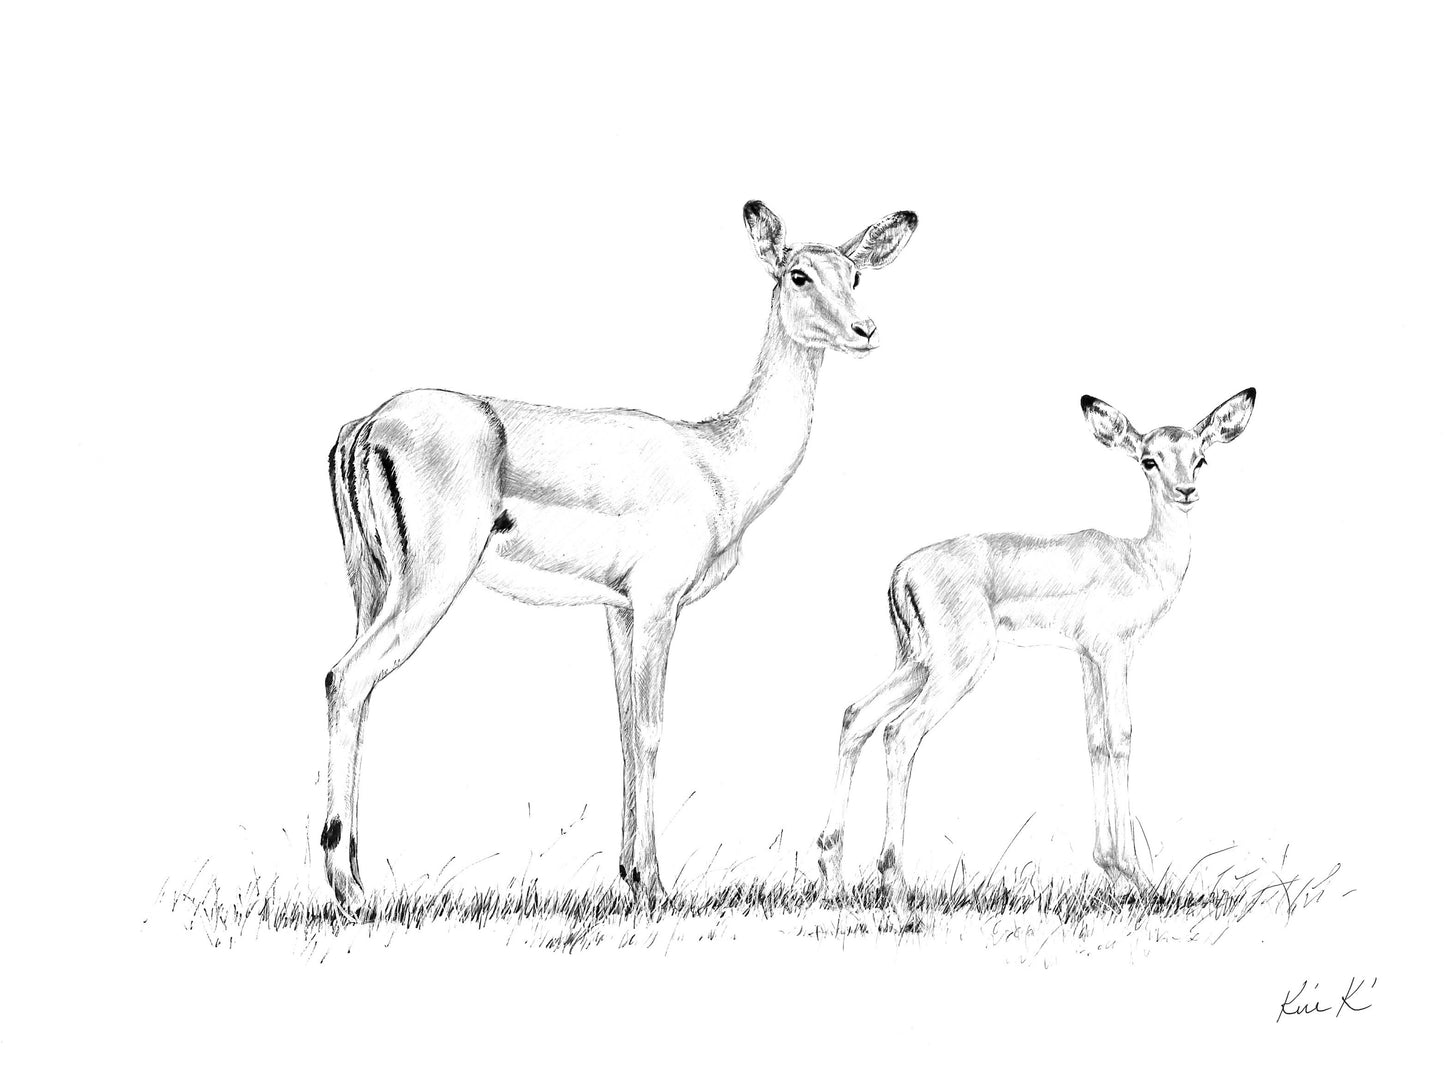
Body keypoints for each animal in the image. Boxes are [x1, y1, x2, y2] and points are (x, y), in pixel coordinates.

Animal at [323, 201, 918, 914]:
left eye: (854, 273)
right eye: (798, 273)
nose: (865, 330)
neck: (719, 459)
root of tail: (365, 425)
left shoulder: (620, 610)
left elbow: (625, 726)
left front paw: (630, 877)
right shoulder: (660, 603)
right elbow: (653, 726)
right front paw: (656, 885)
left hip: (372, 587)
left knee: (356, 690)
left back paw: (356, 876)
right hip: (430, 585)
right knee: (346, 677)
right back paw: (348, 890)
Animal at [817, 388, 1257, 900]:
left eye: (1200, 458)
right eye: (1149, 459)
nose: (1185, 491)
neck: (1141, 561)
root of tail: (901, 572)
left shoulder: (1087, 658)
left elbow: (1095, 740)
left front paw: (1111, 867)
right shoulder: (1114, 653)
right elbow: (1122, 736)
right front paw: (1138, 876)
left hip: (918, 663)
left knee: (857, 715)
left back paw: (831, 867)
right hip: (959, 665)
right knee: (900, 732)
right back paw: (894, 881)